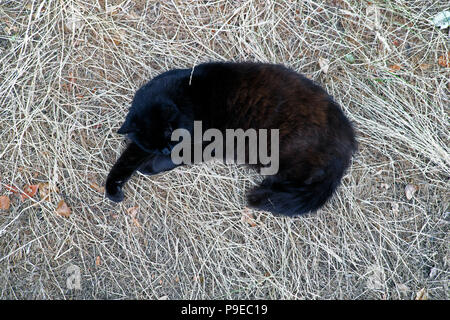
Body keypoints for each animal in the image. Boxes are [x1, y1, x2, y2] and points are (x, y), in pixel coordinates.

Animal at [104, 61, 356, 216]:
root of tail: (347, 141)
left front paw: (150, 167)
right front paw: (113, 189)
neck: (189, 98)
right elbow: (126, 161)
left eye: (170, 136)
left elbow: (181, 155)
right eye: (154, 144)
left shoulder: (211, 140)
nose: (165, 150)